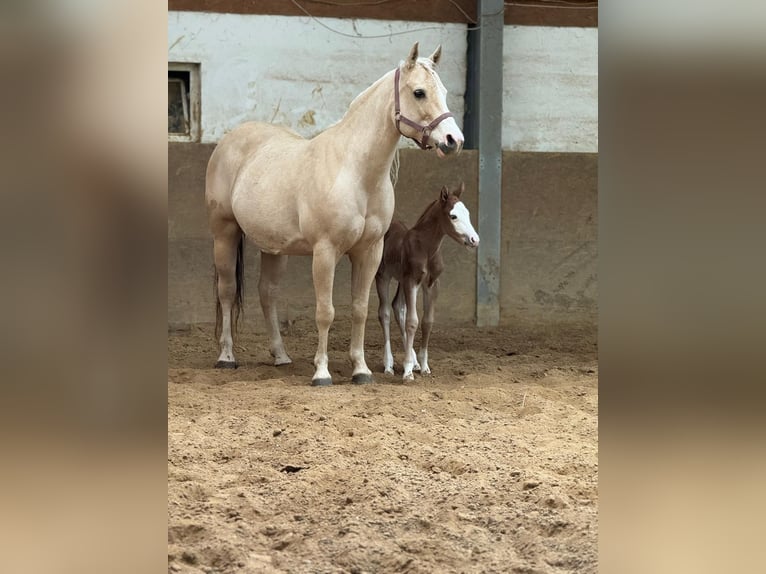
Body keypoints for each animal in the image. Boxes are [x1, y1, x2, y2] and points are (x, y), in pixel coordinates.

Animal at [206, 43, 464, 386]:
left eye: (445, 92)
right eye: (419, 92)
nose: (453, 141)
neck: (355, 171)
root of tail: (231, 138)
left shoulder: (369, 252)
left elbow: (359, 309)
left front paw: (361, 370)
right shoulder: (325, 252)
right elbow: (325, 312)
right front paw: (322, 373)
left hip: (274, 248)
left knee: (267, 293)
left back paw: (281, 356)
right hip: (225, 232)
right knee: (227, 290)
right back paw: (226, 357)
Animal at [375, 182, 479, 381]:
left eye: (468, 213)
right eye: (453, 216)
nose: (474, 240)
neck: (426, 248)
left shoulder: (431, 284)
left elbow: (427, 322)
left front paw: (423, 366)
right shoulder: (412, 281)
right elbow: (412, 322)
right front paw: (407, 371)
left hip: (401, 280)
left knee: (398, 307)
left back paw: (414, 361)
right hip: (383, 276)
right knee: (384, 313)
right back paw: (389, 365)